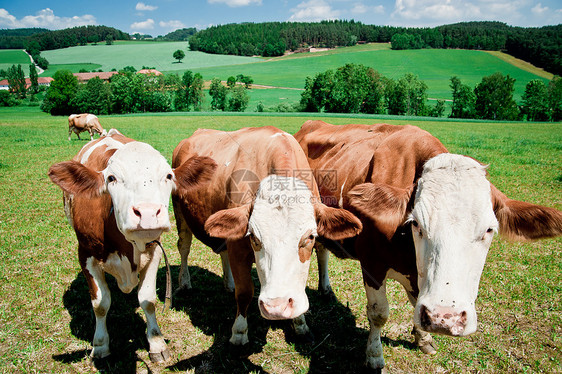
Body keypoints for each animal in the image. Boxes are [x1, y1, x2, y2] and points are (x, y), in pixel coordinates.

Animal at [48, 129, 215, 362]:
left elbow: (147, 299)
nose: (148, 213)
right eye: (111, 178)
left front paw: (156, 342)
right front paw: (100, 345)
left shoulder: (154, 252)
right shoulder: (86, 255)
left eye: (168, 176)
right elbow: (100, 303)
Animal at [171, 127, 360, 346]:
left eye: (310, 237)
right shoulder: (238, 248)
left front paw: (300, 325)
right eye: (254, 237)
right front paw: (239, 333)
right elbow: (245, 291)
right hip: (179, 211)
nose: (276, 306)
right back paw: (185, 283)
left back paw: (228, 284)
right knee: (184, 247)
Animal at [294, 121, 560, 372]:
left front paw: (423, 338)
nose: (446, 318)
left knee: (322, 251)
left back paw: (326, 289)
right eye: (417, 223)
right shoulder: (372, 264)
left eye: (489, 230)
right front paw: (374, 355)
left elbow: (415, 303)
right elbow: (379, 313)